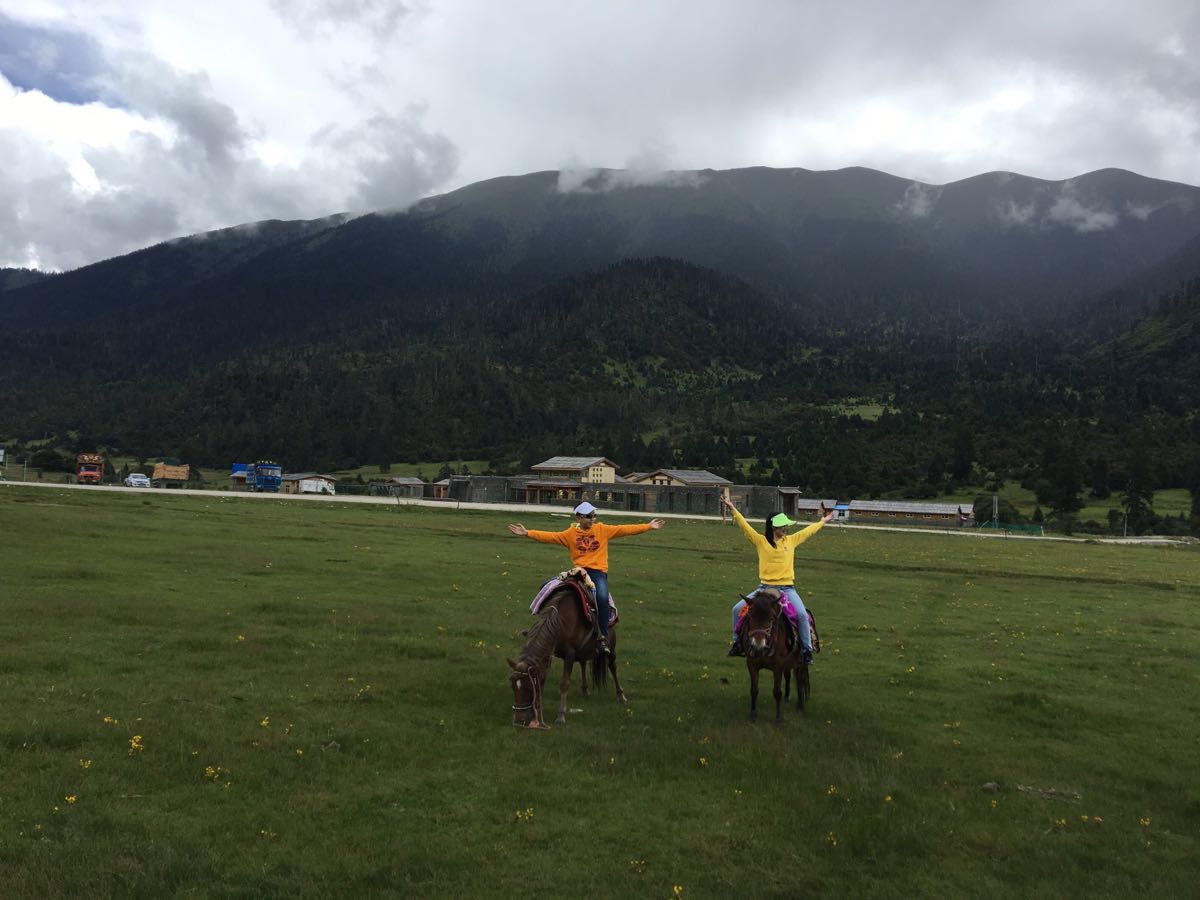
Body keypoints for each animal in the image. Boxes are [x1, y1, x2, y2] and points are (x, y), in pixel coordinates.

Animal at [506, 573, 628, 729]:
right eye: (513, 686)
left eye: (528, 688)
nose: (519, 721)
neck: (560, 619)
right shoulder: (550, 653)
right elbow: (543, 679)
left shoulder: (569, 654)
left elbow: (564, 684)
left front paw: (561, 716)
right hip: (583, 650)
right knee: (583, 663)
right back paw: (585, 690)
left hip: (611, 647)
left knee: (612, 666)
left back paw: (621, 696)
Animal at [734, 588, 811, 724]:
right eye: (749, 617)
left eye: (771, 619)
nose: (758, 646)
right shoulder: (751, 663)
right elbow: (754, 690)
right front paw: (753, 714)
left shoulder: (778, 665)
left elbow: (777, 691)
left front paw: (778, 718)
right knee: (788, 676)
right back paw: (787, 699)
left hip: (800, 662)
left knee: (800, 680)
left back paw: (800, 707)